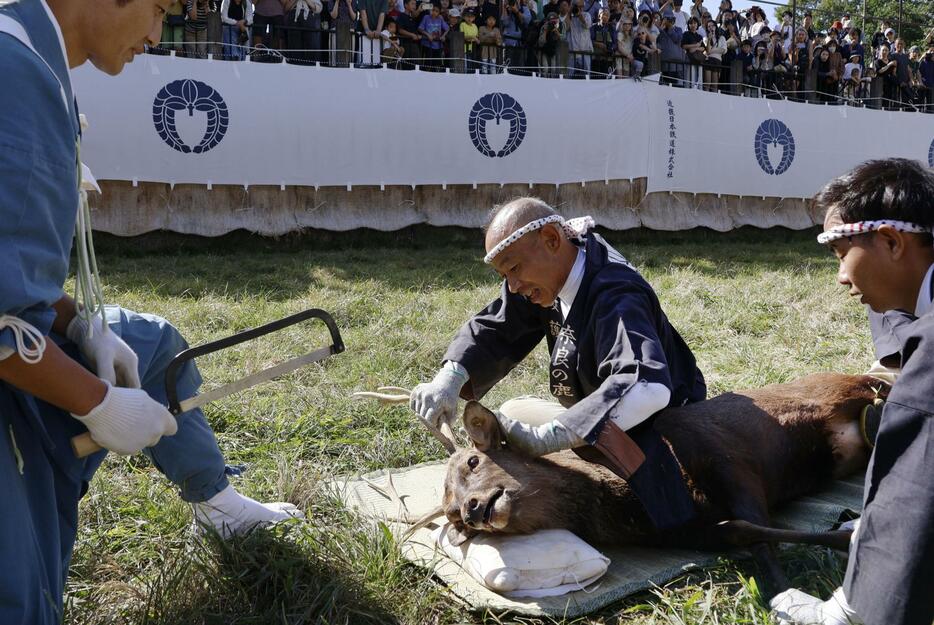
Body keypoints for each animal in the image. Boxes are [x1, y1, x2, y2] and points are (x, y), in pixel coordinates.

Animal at [356, 372, 884, 596]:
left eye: (472, 460)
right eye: (450, 517)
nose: (472, 510)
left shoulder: (728, 458)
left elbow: (761, 538)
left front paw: (844, 543)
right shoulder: (697, 529)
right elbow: (745, 533)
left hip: (863, 390)